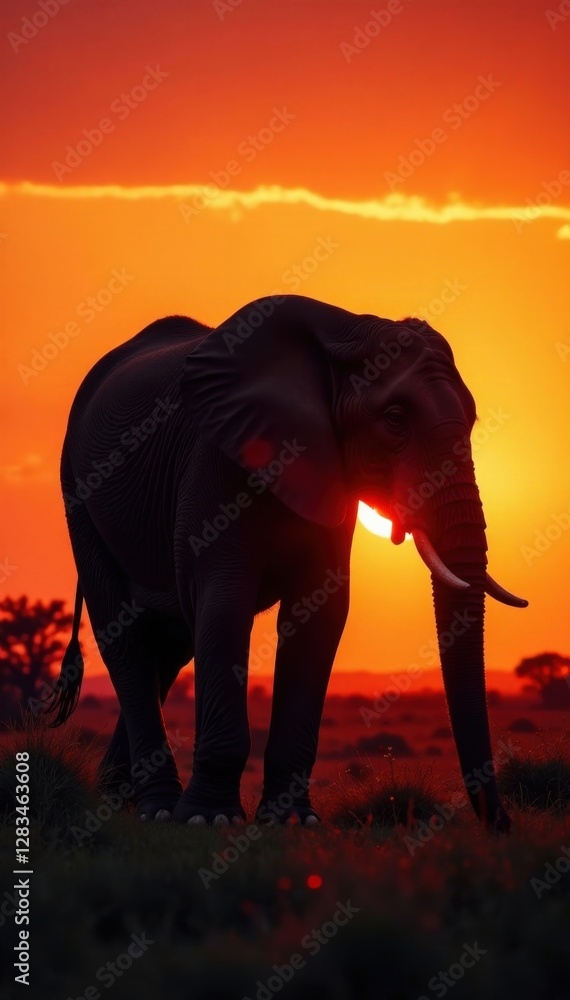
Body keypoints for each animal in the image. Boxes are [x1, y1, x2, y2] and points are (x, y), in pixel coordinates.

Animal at [50, 294, 527, 830]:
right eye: (395, 418)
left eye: (473, 420)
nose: (503, 825)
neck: (345, 333)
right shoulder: (215, 460)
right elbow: (225, 603)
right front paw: (210, 820)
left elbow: (320, 613)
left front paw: (292, 821)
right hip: (78, 489)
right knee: (124, 633)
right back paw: (156, 809)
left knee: (168, 645)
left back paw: (128, 805)